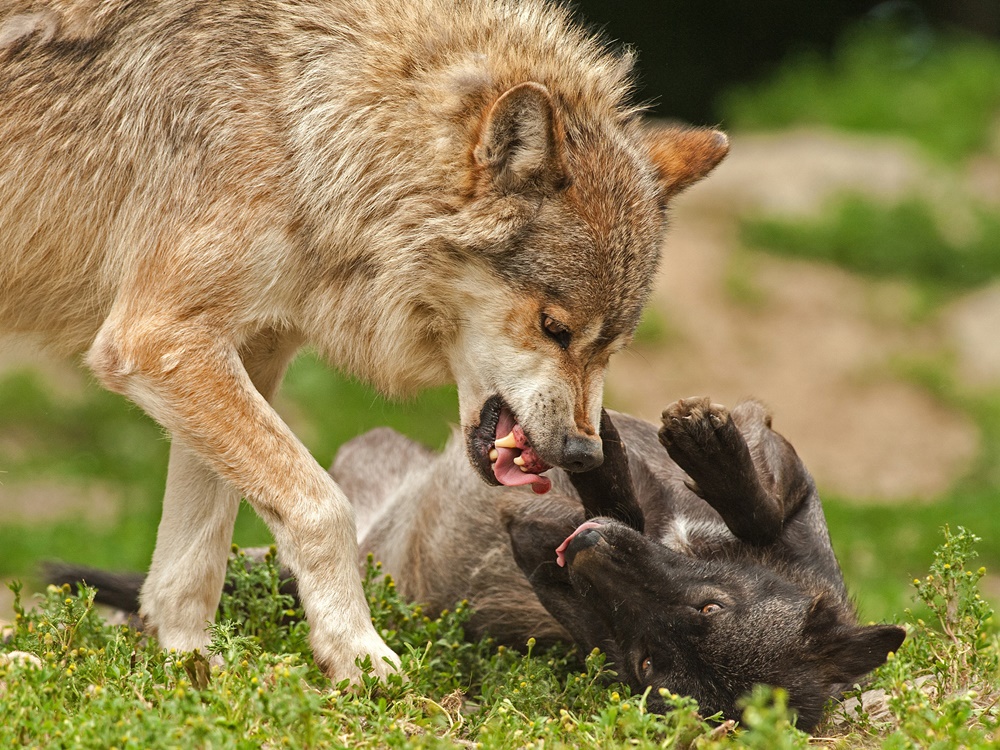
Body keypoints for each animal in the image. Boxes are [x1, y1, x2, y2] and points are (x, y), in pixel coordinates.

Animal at [0, 0, 728, 680]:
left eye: (613, 348)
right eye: (555, 328)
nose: (583, 453)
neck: (305, 128)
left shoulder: (242, 352)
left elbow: (198, 547)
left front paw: (189, 667)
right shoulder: (158, 340)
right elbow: (322, 508)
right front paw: (356, 653)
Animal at [50, 400, 904, 736]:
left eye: (647, 663)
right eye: (710, 609)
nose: (580, 548)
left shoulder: (570, 590)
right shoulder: (779, 484)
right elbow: (751, 501)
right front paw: (699, 450)